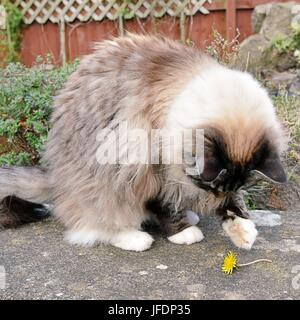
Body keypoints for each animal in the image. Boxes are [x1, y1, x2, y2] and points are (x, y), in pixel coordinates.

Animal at [0, 34, 286, 250]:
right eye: (209, 186)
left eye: (225, 187)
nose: (213, 199)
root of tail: (54, 175)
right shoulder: (148, 166)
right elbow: (162, 205)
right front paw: (182, 231)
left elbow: (235, 204)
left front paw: (243, 229)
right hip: (105, 179)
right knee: (96, 222)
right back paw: (135, 237)